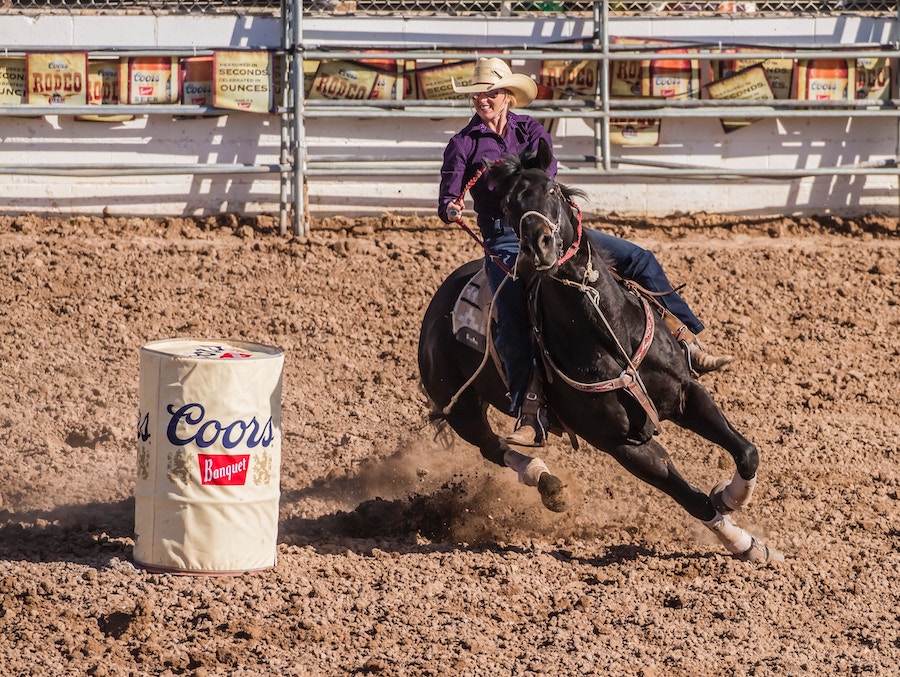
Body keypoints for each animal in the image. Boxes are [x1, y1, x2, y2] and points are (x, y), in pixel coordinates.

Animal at [418, 140, 784, 564]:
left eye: (553, 190)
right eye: (508, 205)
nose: (538, 245)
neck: (608, 330)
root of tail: (437, 308)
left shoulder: (685, 393)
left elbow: (746, 451)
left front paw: (730, 497)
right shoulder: (621, 444)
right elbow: (690, 498)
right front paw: (745, 543)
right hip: (459, 407)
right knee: (492, 447)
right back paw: (546, 481)